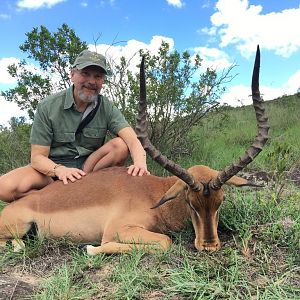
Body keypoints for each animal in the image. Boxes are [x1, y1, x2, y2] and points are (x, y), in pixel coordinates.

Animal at [0, 45, 268, 254]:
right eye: (191, 203)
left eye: (220, 202)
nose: (209, 246)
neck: (152, 194)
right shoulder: (117, 231)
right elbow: (164, 242)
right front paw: (90, 248)